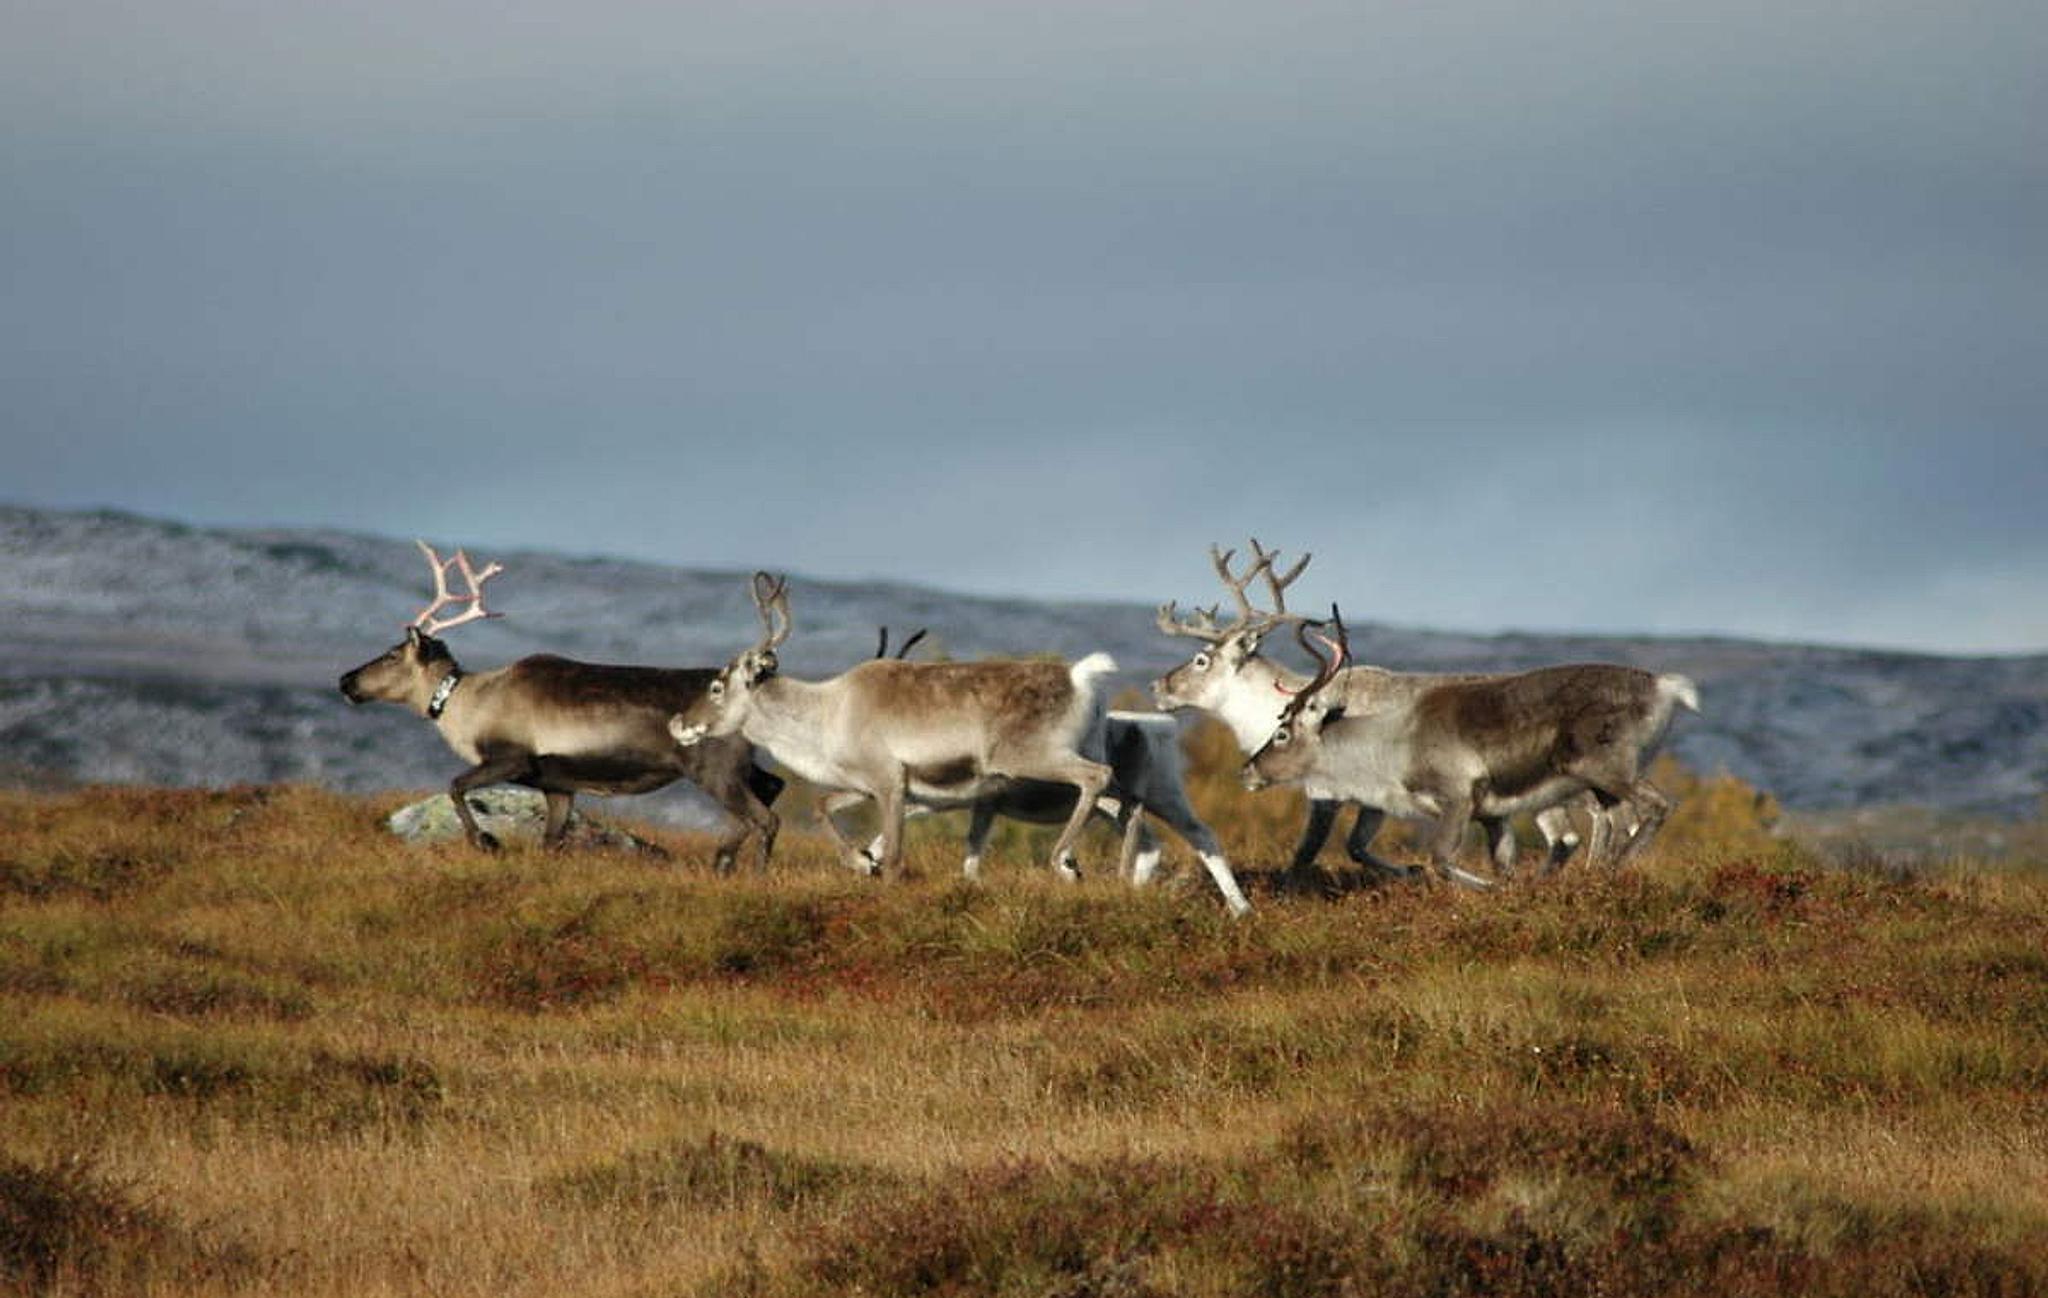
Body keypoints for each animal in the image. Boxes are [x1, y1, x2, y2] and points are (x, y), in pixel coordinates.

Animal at [338, 540, 784, 870]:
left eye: (392, 654)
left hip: (713, 768)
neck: (470, 703)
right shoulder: (558, 784)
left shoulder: (511, 758)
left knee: (765, 816)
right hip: (737, 766)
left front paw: (486, 841)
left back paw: (752, 870)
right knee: (770, 788)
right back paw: (723, 859)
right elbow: (550, 841)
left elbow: (455, 785)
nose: (345, 681)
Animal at [668, 573, 1135, 894]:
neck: (827, 713)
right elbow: (821, 805)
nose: (677, 723)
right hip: (1079, 755)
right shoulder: (866, 784)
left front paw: (874, 869)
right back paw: (1121, 876)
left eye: (716, 686)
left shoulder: (889, 780)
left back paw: (1063, 862)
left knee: (1097, 778)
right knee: (1123, 799)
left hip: (1030, 758)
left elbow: (893, 855)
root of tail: (1082, 679)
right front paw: (860, 861)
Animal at [864, 628, 1253, 915]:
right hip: (1154, 799)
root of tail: (1156, 727)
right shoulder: (981, 804)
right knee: (1187, 835)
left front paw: (870, 861)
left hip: (1125, 796)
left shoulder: (949, 797)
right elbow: (971, 851)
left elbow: (913, 819)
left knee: (1146, 822)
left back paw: (1075, 866)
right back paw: (1237, 909)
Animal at [1151, 540, 1591, 888]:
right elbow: (1356, 847)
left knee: (1567, 837)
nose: (1158, 687)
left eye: (1201, 659)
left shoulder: (1327, 792)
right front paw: (1411, 873)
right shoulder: (1374, 798)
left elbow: (1306, 853)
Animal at [1242, 607, 1698, 880]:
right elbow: (1503, 866)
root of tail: (1667, 688)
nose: (1247, 769)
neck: (1388, 745)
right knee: (1619, 820)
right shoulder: (1493, 816)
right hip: (1602, 784)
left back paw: (1610, 871)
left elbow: (1442, 861)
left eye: (1282, 731)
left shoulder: (1458, 799)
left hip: (1606, 768)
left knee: (1657, 806)